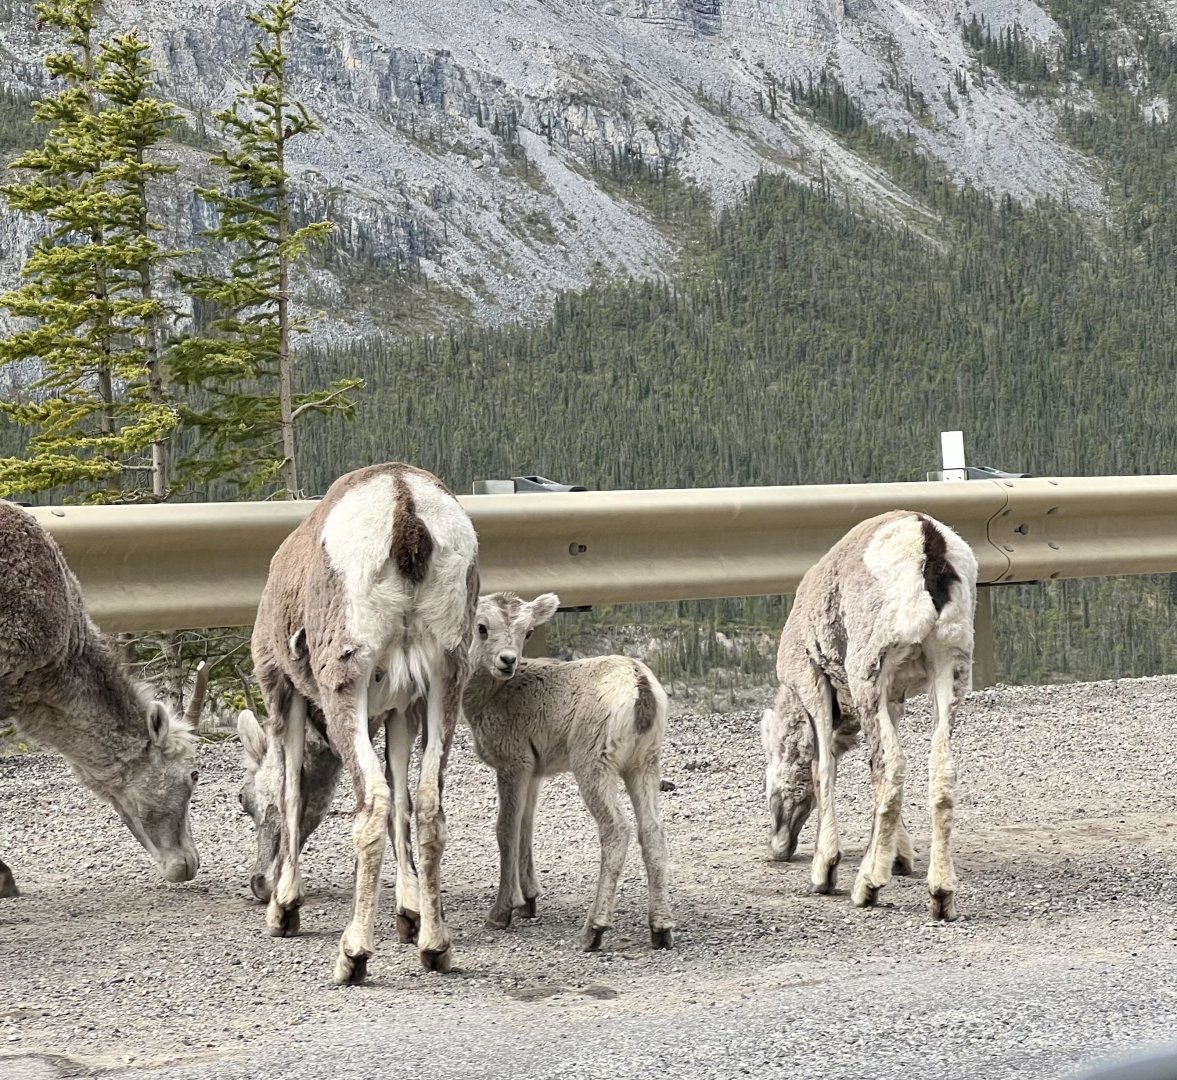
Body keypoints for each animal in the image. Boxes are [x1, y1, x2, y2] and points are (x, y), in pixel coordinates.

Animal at [240, 462, 479, 984]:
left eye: (244, 801)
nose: (256, 883)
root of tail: (404, 507)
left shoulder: (283, 690)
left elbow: (291, 792)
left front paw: (283, 909)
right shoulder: (401, 709)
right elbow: (402, 800)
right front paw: (409, 914)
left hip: (345, 678)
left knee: (371, 806)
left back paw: (353, 954)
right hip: (447, 676)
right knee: (427, 803)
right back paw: (436, 947)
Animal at [464, 591, 675, 952]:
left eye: (528, 632)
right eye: (482, 627)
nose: (508, 661)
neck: (489, 698)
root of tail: (641, 690)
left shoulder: (513, 762)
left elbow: (506, 829)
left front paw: (501, 913)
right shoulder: (534, 771)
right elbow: (526, 827)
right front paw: (529, 902)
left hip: (592, 761)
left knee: (617, 830)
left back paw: (593, 931)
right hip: (644, 762)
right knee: (652, 831)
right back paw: (660, 931)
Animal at [762, 510, 977, 920]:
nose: (778, 849)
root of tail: (927, 540)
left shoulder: (814, 682)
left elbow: (824, 769)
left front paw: (824, 872)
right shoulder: (893, 699)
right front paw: (901, 857)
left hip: (868, 670)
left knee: (891, 767)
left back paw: (868, 886)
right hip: (950, 667)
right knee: (939, 769)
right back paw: (941, 895)